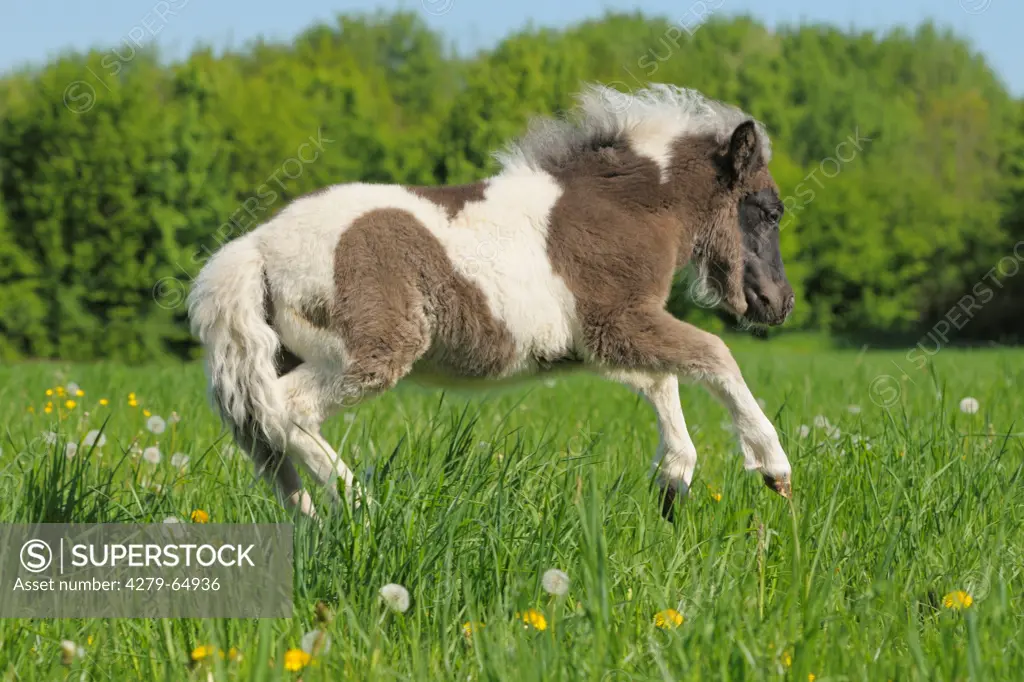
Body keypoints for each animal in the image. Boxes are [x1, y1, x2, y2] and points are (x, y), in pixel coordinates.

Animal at [193, 86, 798, 520]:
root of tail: (257, 246)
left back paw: (311, 518)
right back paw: (361, 509)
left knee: (263, 430)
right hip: (367, 353)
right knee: (289, 410)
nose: (779, 303)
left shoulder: (607, 340)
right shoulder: (619, 322)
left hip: (283, 355)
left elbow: (662, 380)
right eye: (769, 211)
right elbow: (714, 354)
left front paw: (674, 481)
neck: (624, 208)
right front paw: (773, 468)